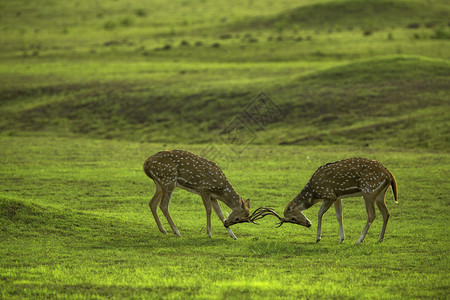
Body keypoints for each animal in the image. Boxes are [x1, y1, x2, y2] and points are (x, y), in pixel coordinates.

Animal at [251, 157, 400, 244]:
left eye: (293, 218)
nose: (308, 224)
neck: (315, 193)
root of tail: (390, 174)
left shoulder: (329, 195)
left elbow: (319, 213)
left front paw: (318, 237)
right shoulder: (337, 197)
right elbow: (339, 216)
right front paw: (341, 238)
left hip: (368, 191)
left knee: (371, 215)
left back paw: (360, 240)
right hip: (380, 194)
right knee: (386, 213)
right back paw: (379, 239)